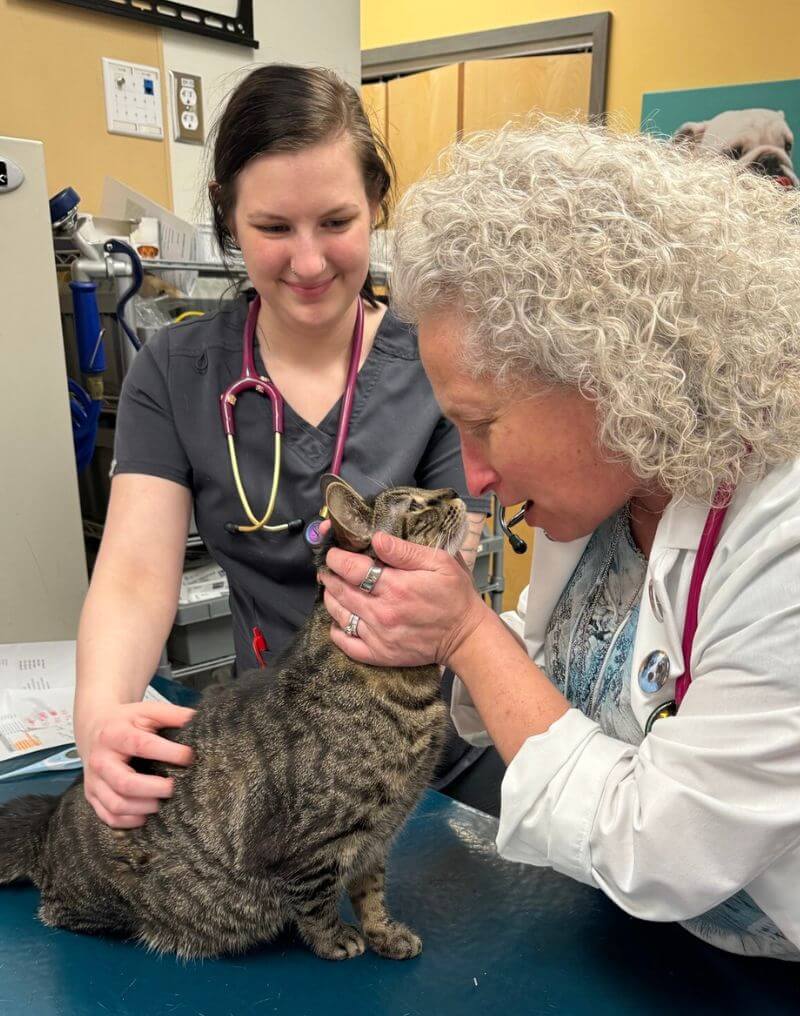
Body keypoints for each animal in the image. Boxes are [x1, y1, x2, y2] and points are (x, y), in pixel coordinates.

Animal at [0, 475, 469, 959]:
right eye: (415, 506)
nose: (454, 492)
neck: (410, 687)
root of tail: (49, 818)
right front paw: (335, 939)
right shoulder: (313, 850)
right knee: (56, 909)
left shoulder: (376, 840)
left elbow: (371, 892)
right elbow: (317, 902)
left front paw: (384, 933)